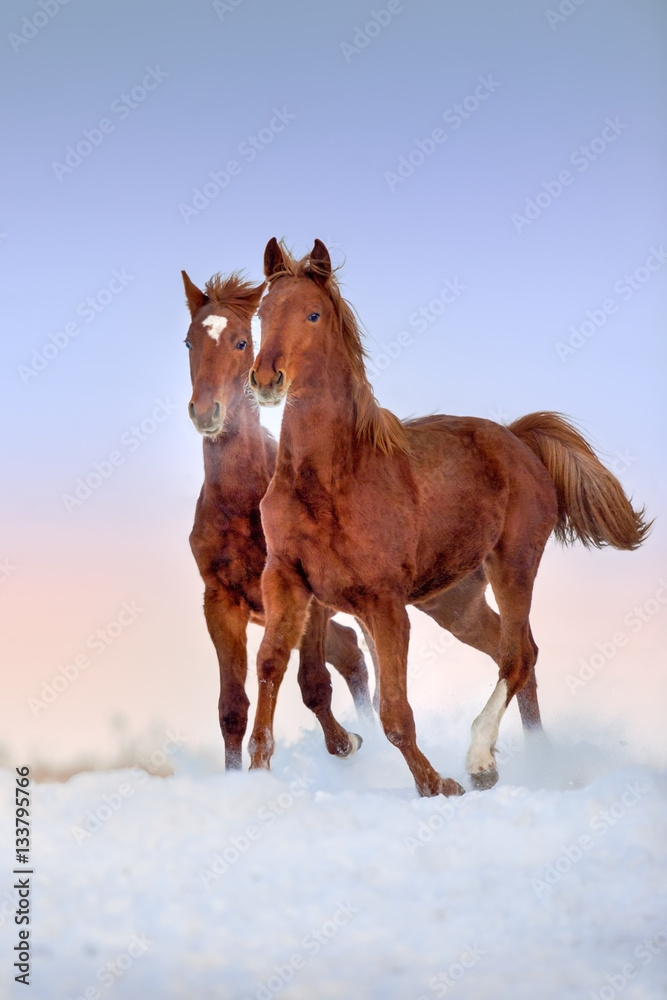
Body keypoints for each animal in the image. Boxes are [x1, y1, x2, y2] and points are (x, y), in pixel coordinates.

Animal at [181, 268, 372, 769]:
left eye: (241, 341)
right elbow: (232, 706)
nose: (206, 411)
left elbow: (313, 684)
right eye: (189, 341)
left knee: (350, 653)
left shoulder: (309, 598)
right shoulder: (221, 602)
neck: (240, 499)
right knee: (349, 650)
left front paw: (345, 743)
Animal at [246, 238, 650, 796]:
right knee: (517, 651)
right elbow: (273, 668)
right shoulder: (287, 579)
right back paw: (538, 759)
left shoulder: (384, 604)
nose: (266, 379)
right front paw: (257, 772)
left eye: (312, 314)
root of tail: (518, 438)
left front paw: (437, 785)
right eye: (262, 313)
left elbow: (395, 712)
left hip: (513, 565)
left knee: (517, 655)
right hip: (454, 603)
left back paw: (481, 761)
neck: (331, 480)